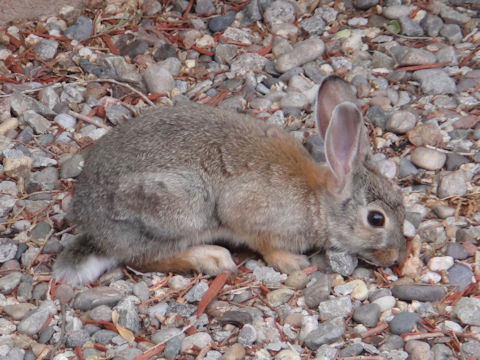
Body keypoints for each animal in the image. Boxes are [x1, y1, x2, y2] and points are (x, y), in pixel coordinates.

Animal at [52, 76, 404, 286]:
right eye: (376, 219)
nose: (395, 257)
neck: (318, 201)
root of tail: (95, 229)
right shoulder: (249, 212)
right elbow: (263, 243)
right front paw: (292, 262)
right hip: (181, 206)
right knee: (147, 258)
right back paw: (212, 259)